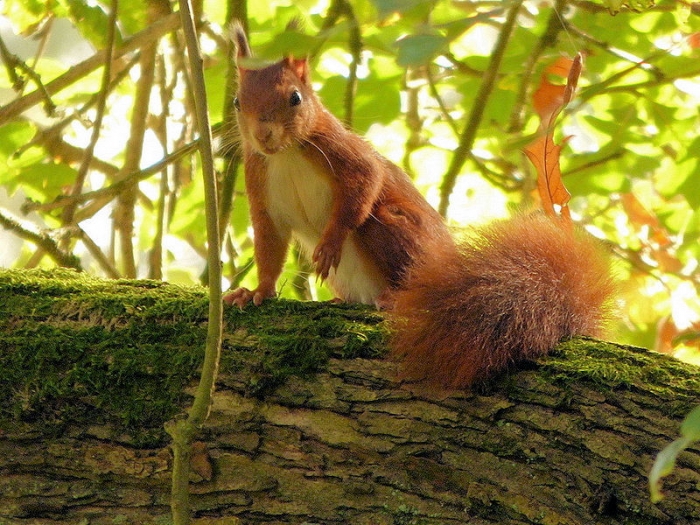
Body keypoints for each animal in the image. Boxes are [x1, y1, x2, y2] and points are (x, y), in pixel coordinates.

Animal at [224, 23, 616, 389]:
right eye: (237, 102)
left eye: (295, 98)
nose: (263, 136)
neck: (287, 154)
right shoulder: (260, 181)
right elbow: (269, 242)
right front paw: (256, 291)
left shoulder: (339, 149)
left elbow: (365, 182)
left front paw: (330, 242)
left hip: (393, 231)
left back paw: (395, 298)